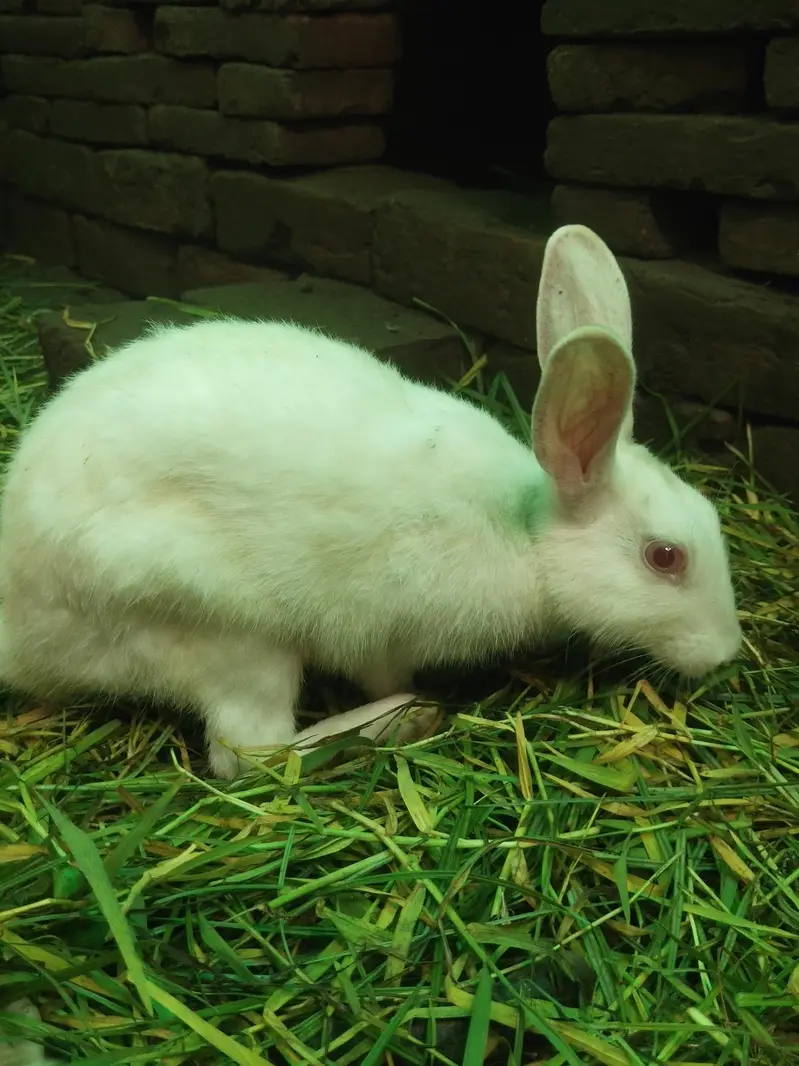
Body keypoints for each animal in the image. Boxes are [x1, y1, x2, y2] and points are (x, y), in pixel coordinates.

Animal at [0, 225, 742, 779]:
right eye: (664, 557)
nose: (724, 655)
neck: (524, 533)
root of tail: (21, 636)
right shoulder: (389, 631)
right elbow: (376, 670)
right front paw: (398, 698)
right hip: (222, 632)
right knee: (254, 755)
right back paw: (404, 717)